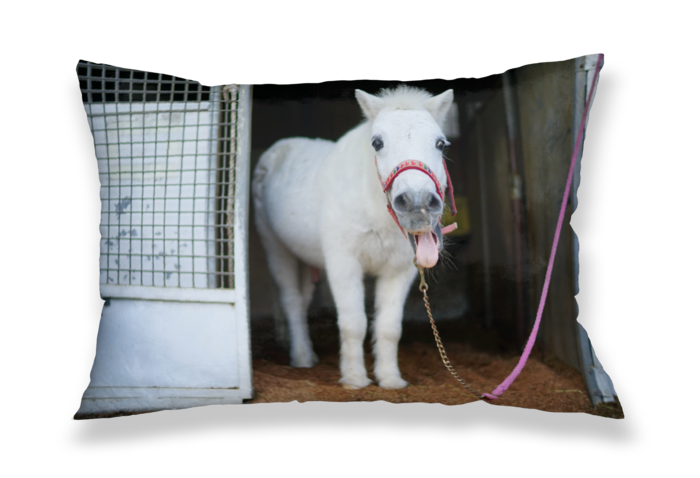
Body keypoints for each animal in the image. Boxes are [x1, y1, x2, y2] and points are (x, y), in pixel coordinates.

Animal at [254, 85, 456, 388]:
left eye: (440, 144)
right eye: (377, 143)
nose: (417, 203)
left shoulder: (399, 271)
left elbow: (388, 327)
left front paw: (390, 379)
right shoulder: (344, 263)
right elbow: (354, 323)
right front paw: (354, 379)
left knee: (302, 301)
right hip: (277, 251)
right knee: (292, 302)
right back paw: (302, 358)